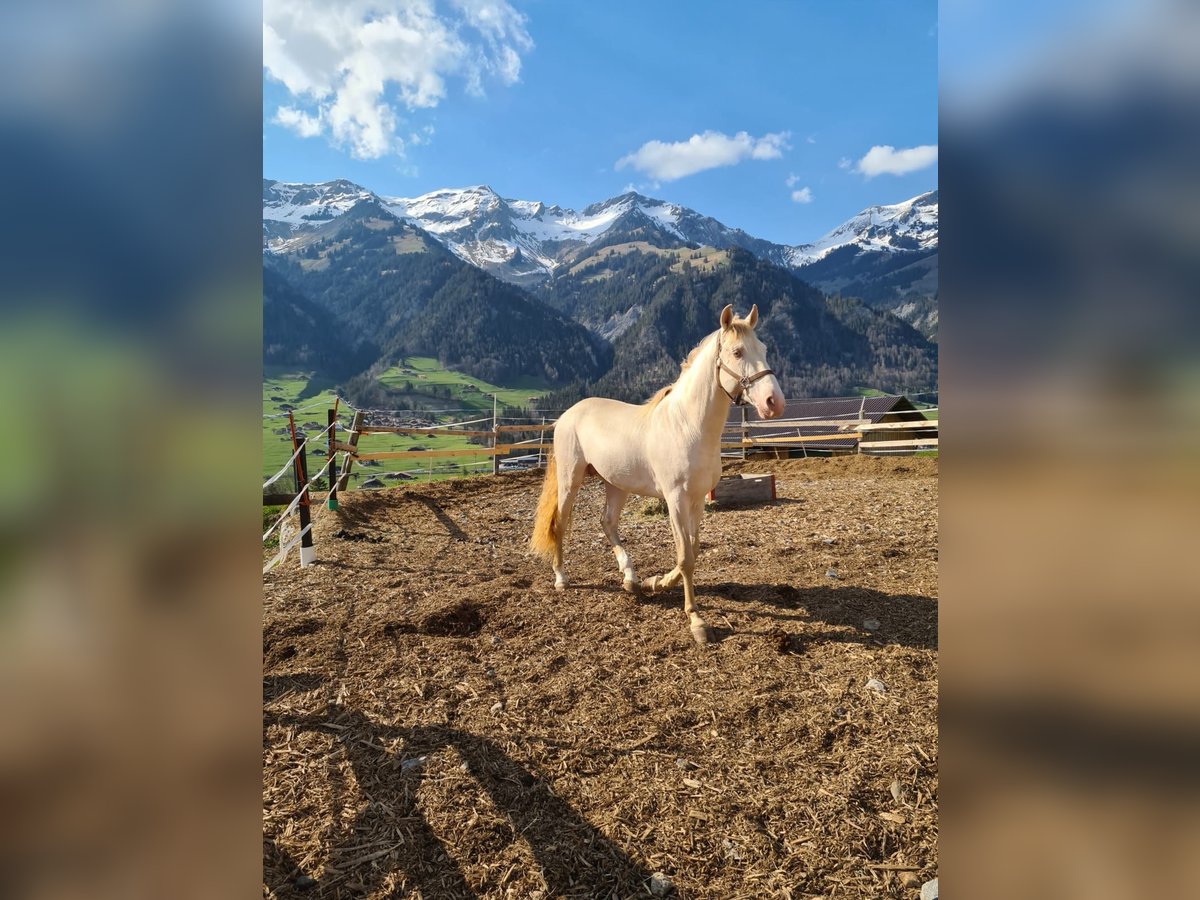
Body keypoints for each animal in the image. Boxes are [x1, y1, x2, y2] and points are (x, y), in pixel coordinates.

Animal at [530, 307, 782, 643]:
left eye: (764, 349)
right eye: (737, 352)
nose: (774, 403)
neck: (688, 426)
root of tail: (567, 415)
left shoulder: (697, 500)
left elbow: (693, 550)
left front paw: (656, 582)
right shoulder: (675, 500)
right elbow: (685, 556)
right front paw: (696, 621)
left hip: (616, 484)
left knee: (607, 522)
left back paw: (631, 579)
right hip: (571, 479)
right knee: (559, 522)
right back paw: (561, 578)